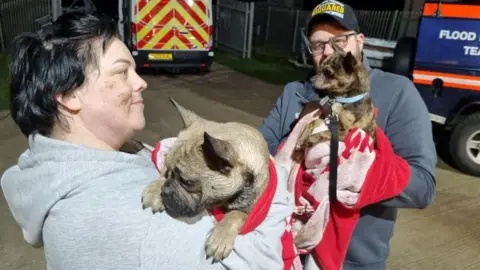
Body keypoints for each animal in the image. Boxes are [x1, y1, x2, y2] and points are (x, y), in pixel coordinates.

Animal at [141, 98, 272, 262]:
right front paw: (155, 190)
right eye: (168, 170)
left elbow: (235, 216)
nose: (165, 192)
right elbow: (162, 175)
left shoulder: (247, 207)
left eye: (187, 182)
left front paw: (221, 236)